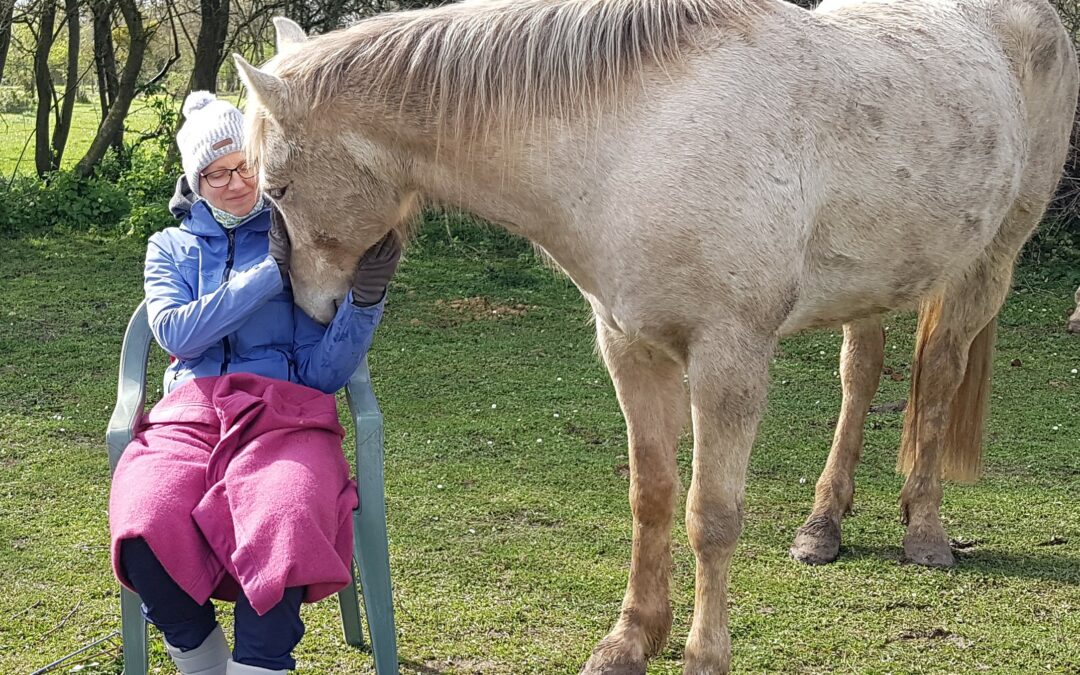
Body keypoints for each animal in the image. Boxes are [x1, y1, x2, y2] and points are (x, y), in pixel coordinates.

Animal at [232, 1, 1075, 669]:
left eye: (278, 186)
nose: (308, 314)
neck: (636, 143)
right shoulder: (630, 348)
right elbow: (652, 496)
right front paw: (631, 637)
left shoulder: (729, 359)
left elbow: (712, 515)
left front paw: (704, 653)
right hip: (876, 282)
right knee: (861, 374)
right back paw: (822, 525)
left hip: (988, 264)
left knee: (938, 378)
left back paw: (925, 532)